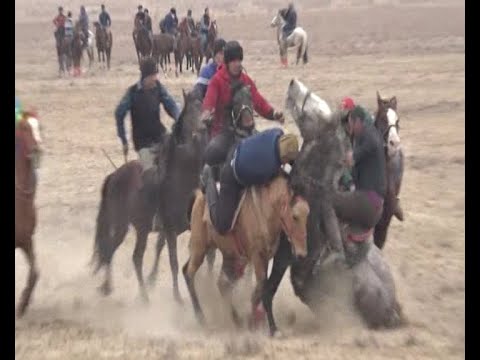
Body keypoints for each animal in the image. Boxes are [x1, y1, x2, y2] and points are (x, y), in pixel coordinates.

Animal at [91, 88, 209, 302]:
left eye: (203, 106)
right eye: (189, 113)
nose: (204, 127)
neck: (181, 179)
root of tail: (114, 176)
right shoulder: (170, 230)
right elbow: (173, 262)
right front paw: (178, 298)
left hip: (136, 228)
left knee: (124, 254)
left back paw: (119, 290)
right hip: (125, 224)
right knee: (121, 253)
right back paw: (134, 294)